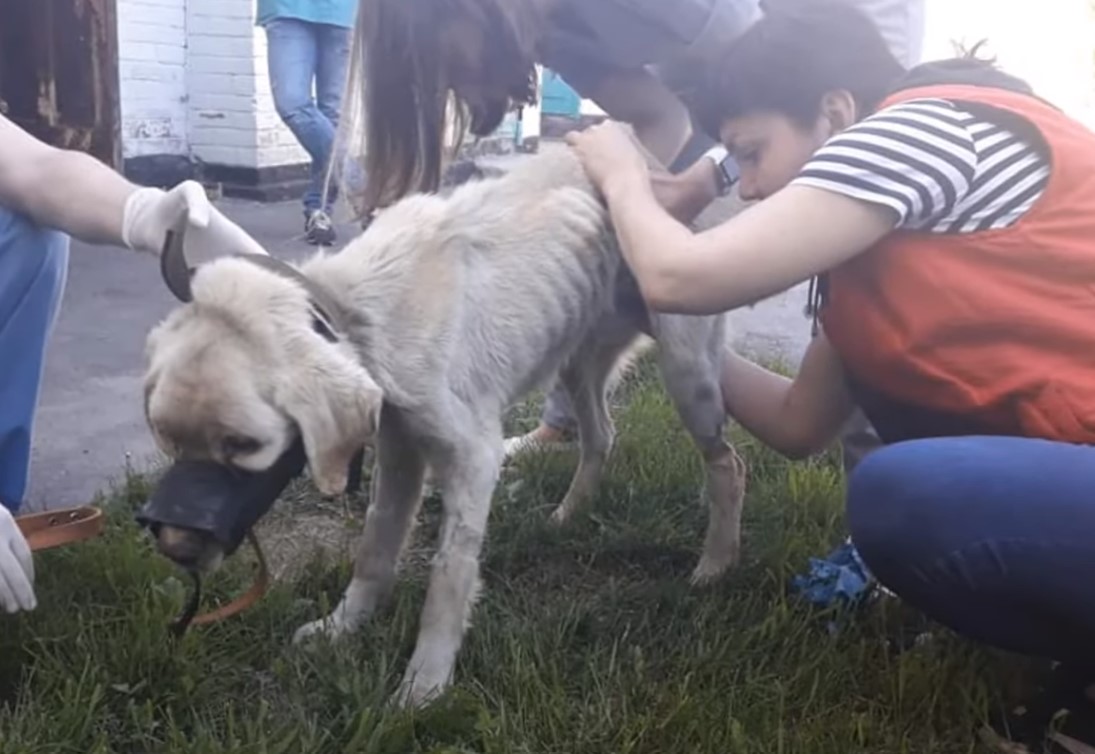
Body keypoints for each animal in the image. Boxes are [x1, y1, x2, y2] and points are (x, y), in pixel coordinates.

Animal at [141, 146, 748, 704]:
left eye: (245, 445)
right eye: (167, 440)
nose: (175, 550)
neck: (363, 311)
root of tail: (657, 167)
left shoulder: (473, 458)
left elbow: (448, 578)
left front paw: (424, 685)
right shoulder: (398, 451)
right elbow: (375, 550)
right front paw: (343, 627)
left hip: (686, 371)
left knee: (728, 463)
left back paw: (715, 565)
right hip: (577, 362)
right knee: (601, 435)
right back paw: (568, 515)